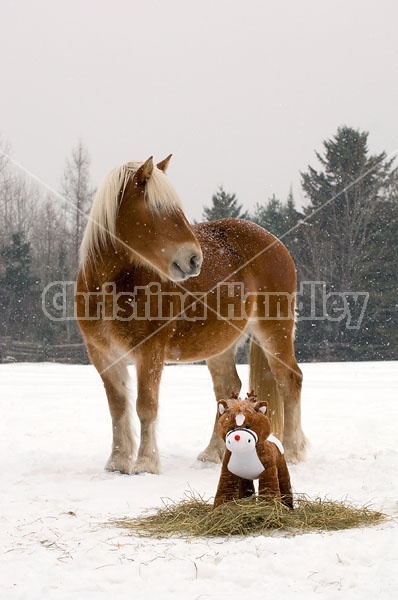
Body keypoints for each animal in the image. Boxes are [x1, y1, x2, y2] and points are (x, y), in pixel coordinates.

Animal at [76, 156, 306, 474]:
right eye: (157, 208)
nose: (194, 259)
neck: (112, 285)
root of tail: (276, 243)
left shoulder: (150, 351)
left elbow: (145, 405)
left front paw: (146, 463)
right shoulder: (102, 353)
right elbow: (118, 407)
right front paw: (118, 461)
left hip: (275, 330)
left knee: (290, 380)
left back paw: (294, 452)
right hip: (220, 343)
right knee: (228, 388)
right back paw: (213, 453)